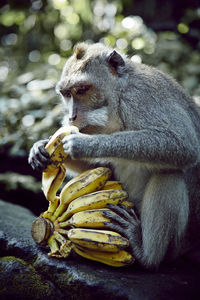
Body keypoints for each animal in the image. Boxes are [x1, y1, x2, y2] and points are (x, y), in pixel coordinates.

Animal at [28, 42, 200, 270]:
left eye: (81, 90)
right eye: (66, 94)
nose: (71, 116)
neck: (118, 100)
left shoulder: (142, 96)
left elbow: (183, 145)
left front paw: (85, 145)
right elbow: (105, 167)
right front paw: (39, 147)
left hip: (178, 244)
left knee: (169, 175)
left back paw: (145, 253)